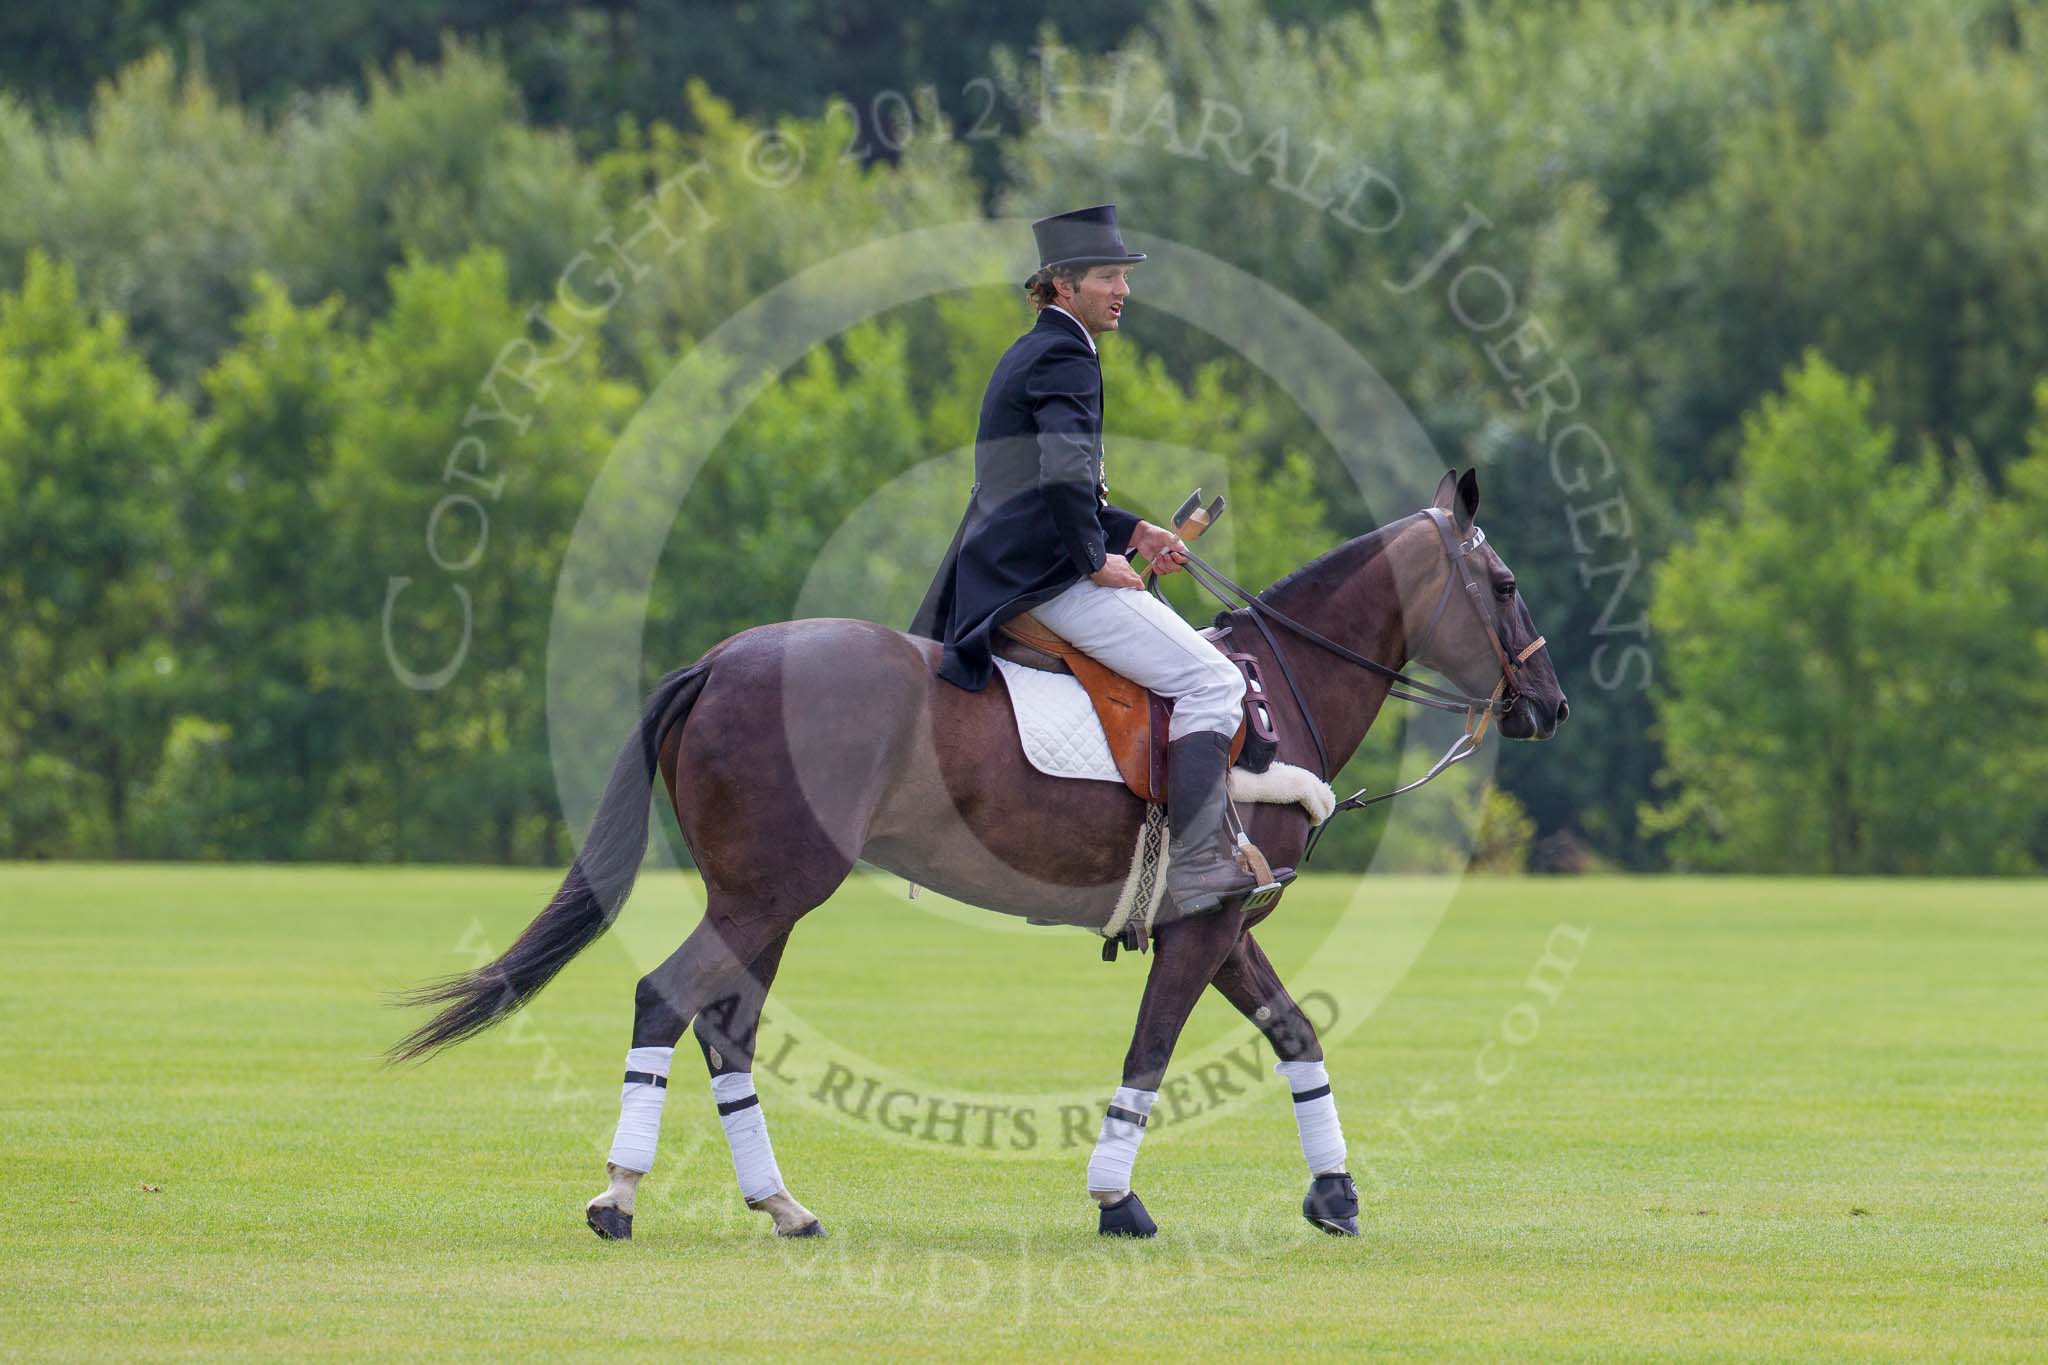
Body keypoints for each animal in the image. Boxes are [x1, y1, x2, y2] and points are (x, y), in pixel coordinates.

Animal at [387, 470, 1564, 1236]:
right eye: (1506, 585)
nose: (1547, 706)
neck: (1275, 692)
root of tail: (715, 661)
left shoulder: (1227, 926)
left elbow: (1293, 1033)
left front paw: (1334, 1193)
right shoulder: (1206, 919)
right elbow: (1151, 1052)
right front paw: (1116, 1198)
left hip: (760, 895)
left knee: (727, 1026)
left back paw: (779, 1203)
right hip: (771, 889)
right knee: (665, 997)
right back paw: (619, 1196)